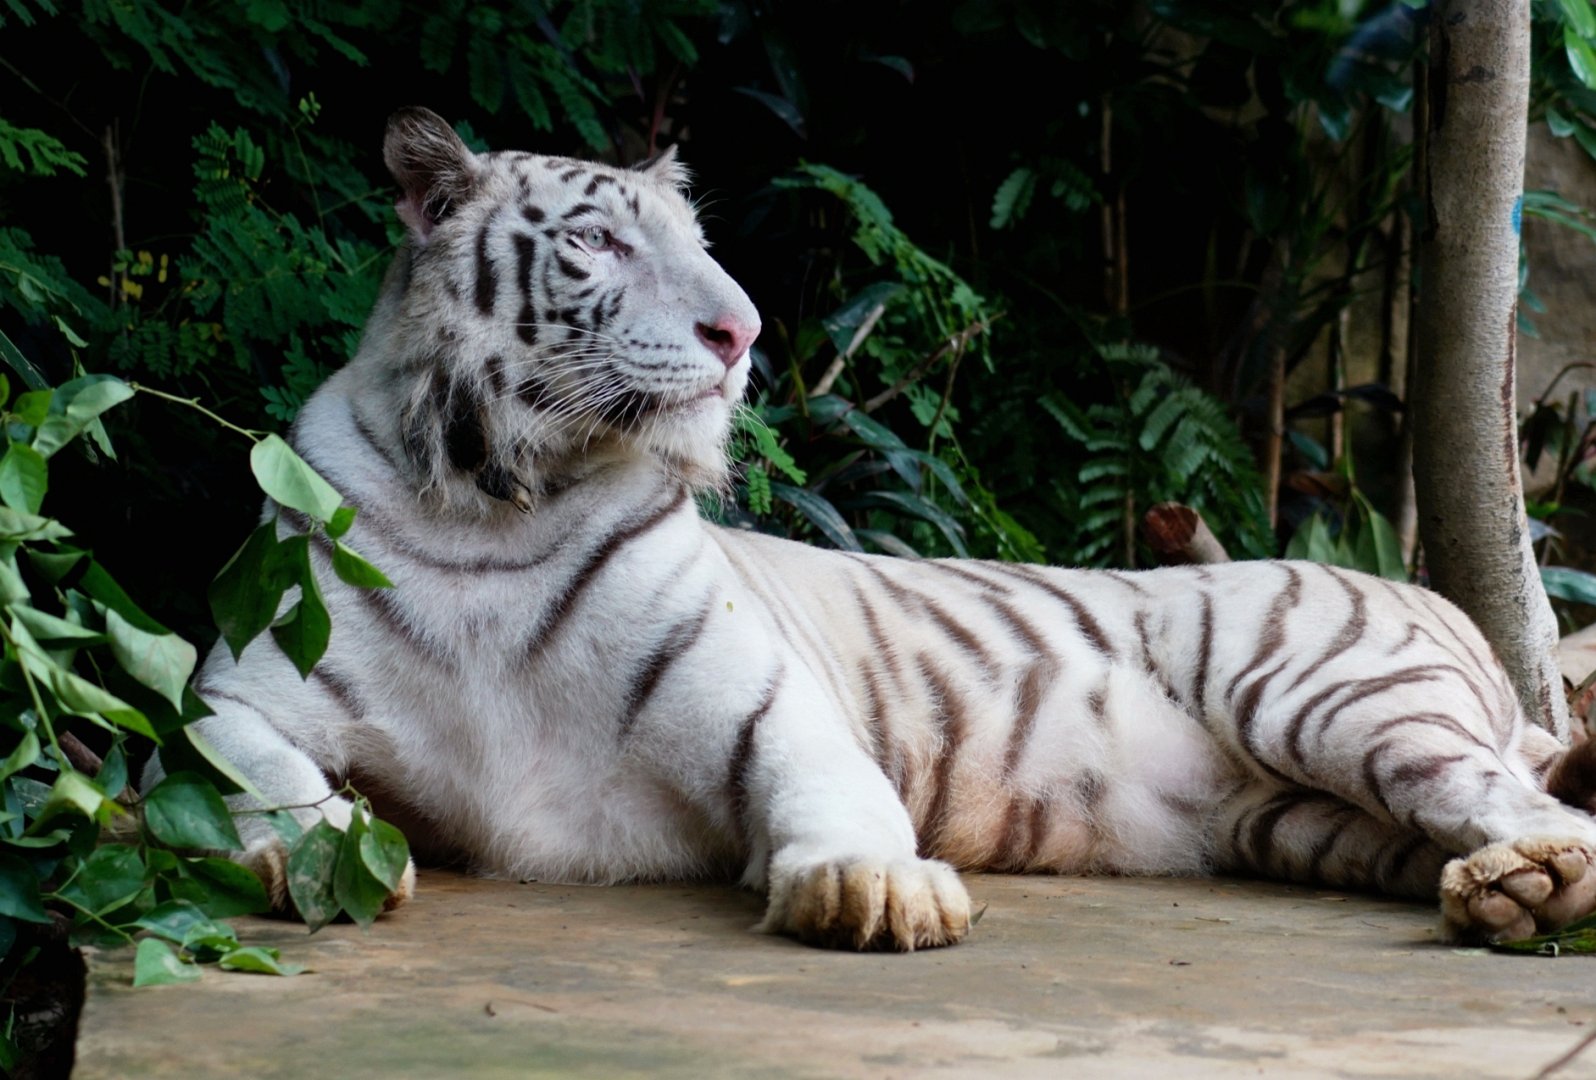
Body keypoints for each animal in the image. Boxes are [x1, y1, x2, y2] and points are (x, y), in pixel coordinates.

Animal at [150, 105, 1596, 951]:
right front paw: (317, 852)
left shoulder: (768, 695)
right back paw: (1512, 893)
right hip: (1302, 814)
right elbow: (244, 766)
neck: (493, 504)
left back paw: (1534, 878)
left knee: (1528, 799)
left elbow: (822, 781)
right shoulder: (233, 679)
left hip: (1327, 694)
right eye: (598, 245)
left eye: (697, 241)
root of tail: (1440, 603)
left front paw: (873, 887)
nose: (741, 330)